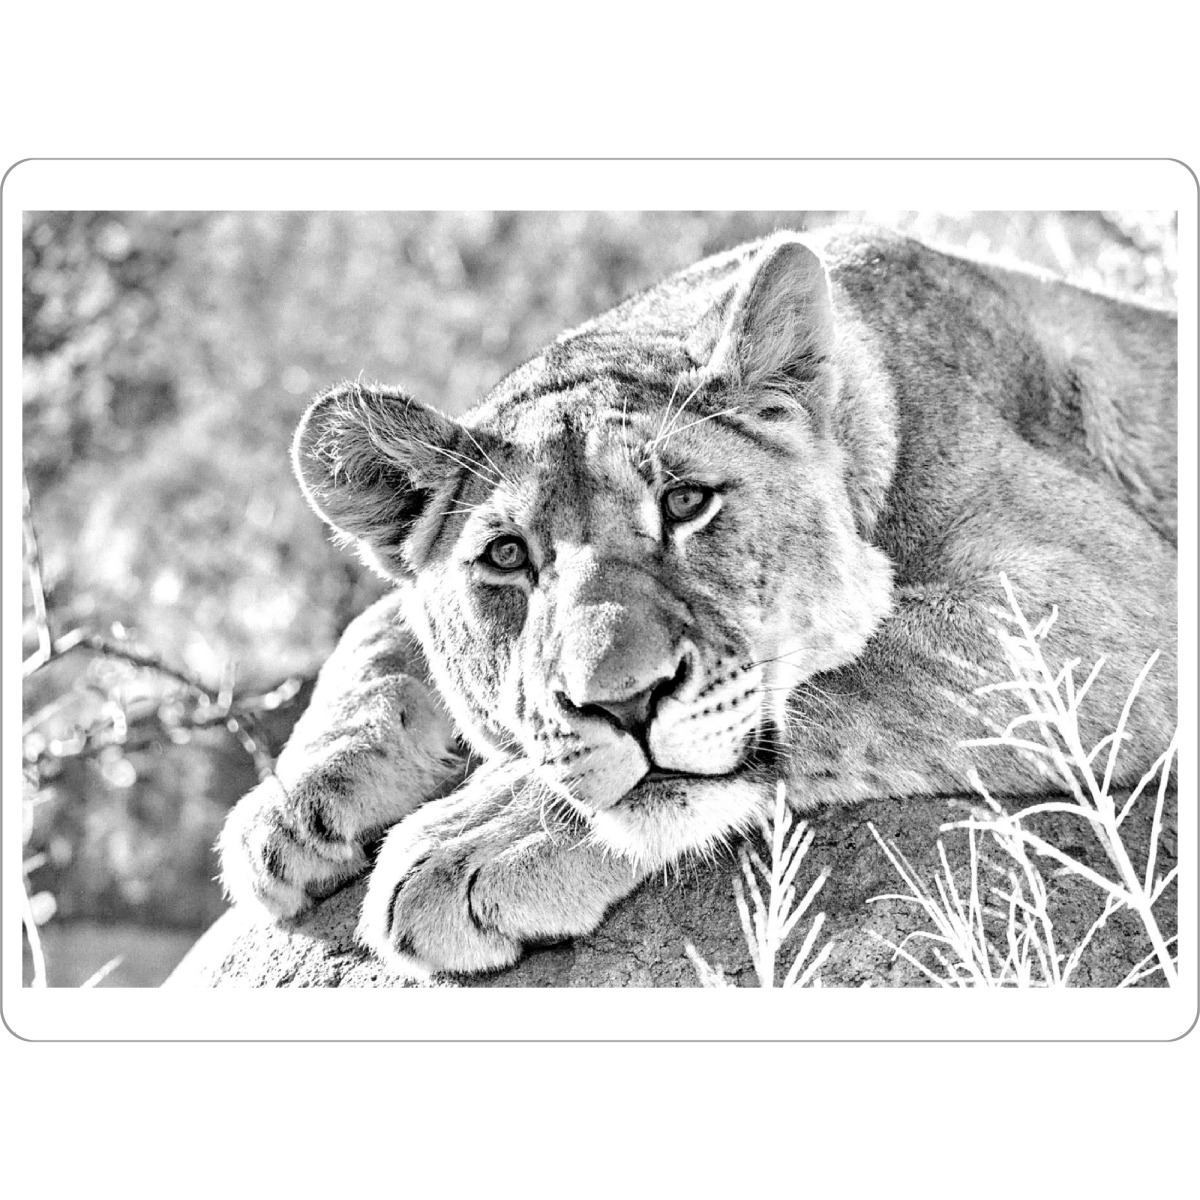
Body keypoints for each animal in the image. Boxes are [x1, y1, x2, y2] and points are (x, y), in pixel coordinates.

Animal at [217, 226, 1178, 977]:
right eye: (506, 556)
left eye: (685, 502)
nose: (626, 701)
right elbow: (371, 632)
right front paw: (294, 806)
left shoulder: (1106, 601)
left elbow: (848, 672)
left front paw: (484, 836)